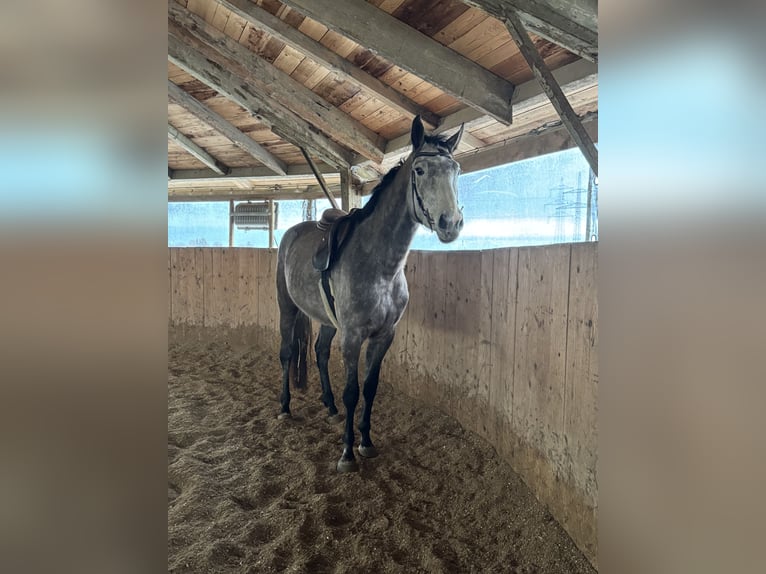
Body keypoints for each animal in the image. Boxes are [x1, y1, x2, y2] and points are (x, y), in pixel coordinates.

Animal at [278, 115, 464, 474]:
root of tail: (293, 232)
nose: (451, 223)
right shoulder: (352, 337)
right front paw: (347, 453)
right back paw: (284, 407)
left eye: (456, 169)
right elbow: (352, 391)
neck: (380, 267)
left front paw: (365, 441)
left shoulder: (384, 336)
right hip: (287, 310)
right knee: (286, 353)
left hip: (327, 322)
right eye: (420, 170)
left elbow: (370, 387)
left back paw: (329, 406)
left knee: (320, 352)